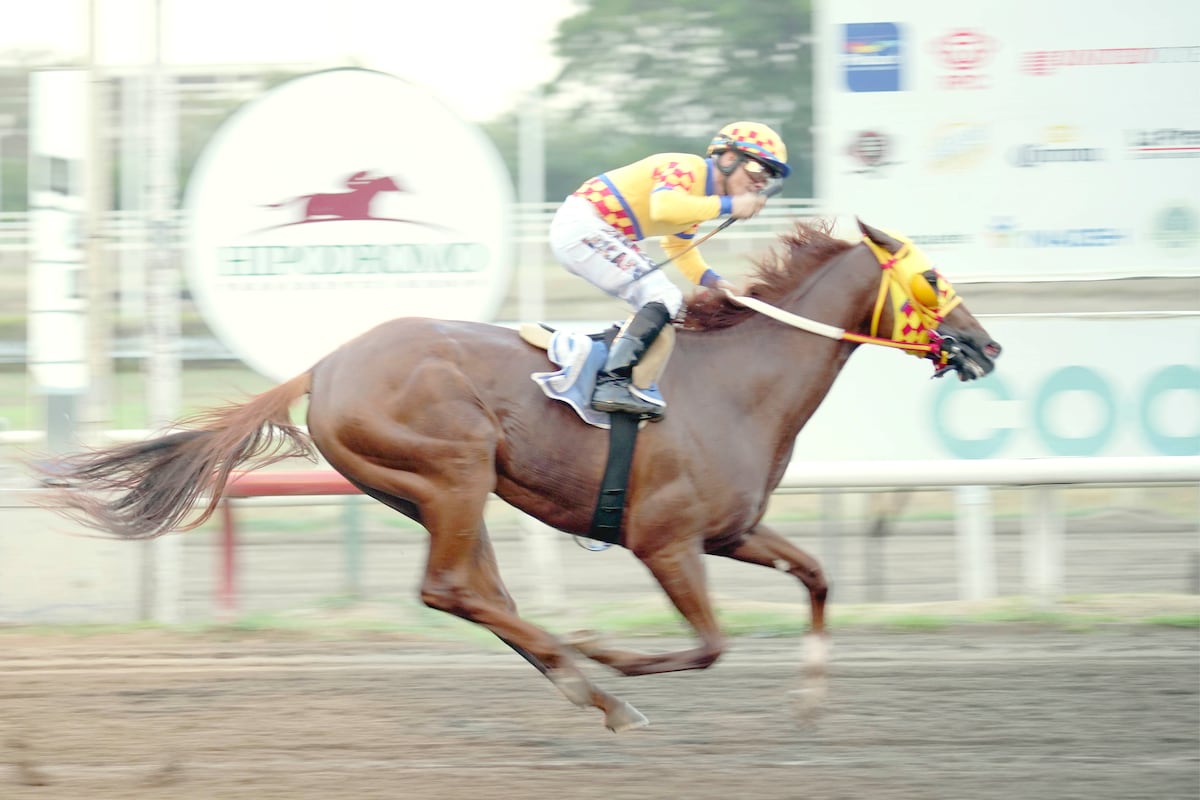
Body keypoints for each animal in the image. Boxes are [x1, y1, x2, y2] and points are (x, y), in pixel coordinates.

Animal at [42, 219, 1003, 734]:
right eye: (933, 275)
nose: (987, 345)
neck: (737, 381)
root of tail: (325, 364)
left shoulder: (732, 532)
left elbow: (818, 576)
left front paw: (808, 704)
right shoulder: (665, 541)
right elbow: (709, 644)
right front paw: (613, 650)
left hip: (431, 492)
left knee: (476, 592)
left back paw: (584, 686)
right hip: (455, 466)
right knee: (448, 589)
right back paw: (589, 674)